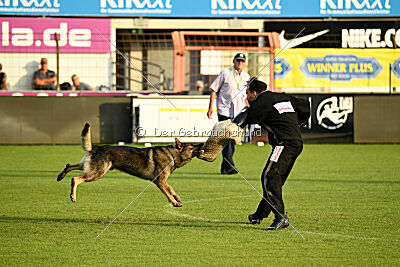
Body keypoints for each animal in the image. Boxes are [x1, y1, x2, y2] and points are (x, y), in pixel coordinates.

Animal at [57, 123, 203, 207]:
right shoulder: (159, 181)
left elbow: (171, 188)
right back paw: (73, 196)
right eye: (192, 146)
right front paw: (174, 202)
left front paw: (177, 198)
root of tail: (95, 147)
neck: (172, 155)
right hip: (96, 173)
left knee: (69, 165)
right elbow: (167, 192)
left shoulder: (162, 181)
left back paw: (60, 176)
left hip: (88, 167)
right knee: (75, 179)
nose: (201, 144)